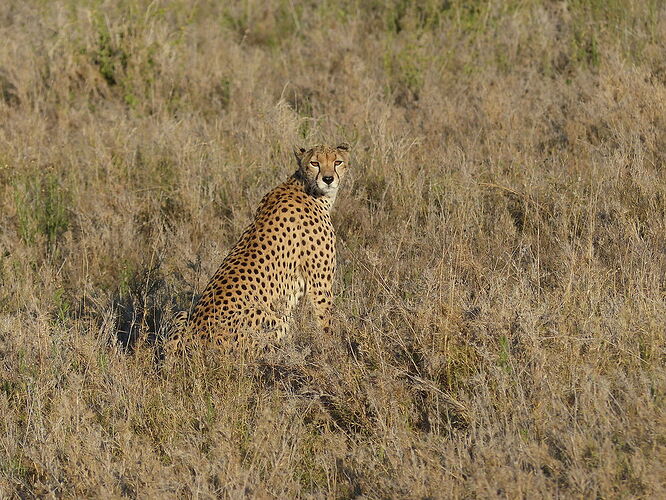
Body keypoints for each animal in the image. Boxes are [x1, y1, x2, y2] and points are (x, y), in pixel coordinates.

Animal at [169, 141, 350, 352]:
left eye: (337, 162)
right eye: (314, 163)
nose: (328, 179)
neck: (307, 188)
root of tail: (195, 344)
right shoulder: (320, 286)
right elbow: (327, 323)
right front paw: (335, 351)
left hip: (182, 315)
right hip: (276, 319)